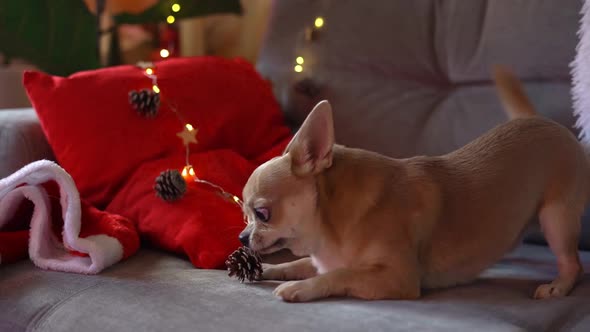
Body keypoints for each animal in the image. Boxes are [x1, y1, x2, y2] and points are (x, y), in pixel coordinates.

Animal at [239, 66, 590, 302]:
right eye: (244, 214)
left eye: (262, 213)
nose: (242, 237)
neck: (329, 226)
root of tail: (542, 121)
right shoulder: (323, 259)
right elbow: (300, 263)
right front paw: (267, 269)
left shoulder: (397, 278)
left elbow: (341, 273)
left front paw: (299, 287)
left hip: (556, 218)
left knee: (573, 263)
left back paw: (559, 285)